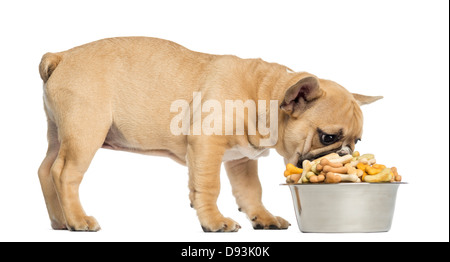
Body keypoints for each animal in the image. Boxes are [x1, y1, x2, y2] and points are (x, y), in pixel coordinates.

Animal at [38, 36, 382, 231]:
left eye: (357, 141)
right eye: (328, 137)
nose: (346, 153)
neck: (265, 93)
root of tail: (61, 56)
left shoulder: (241, 160)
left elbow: (251, 191)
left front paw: (263, 217)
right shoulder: (206, 145)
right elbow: (208, 187)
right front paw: (215, 222)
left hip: (58, 132)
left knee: (45, 169)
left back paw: (59, 221)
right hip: (85, 132)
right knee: (64, 174)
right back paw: (79, 220)